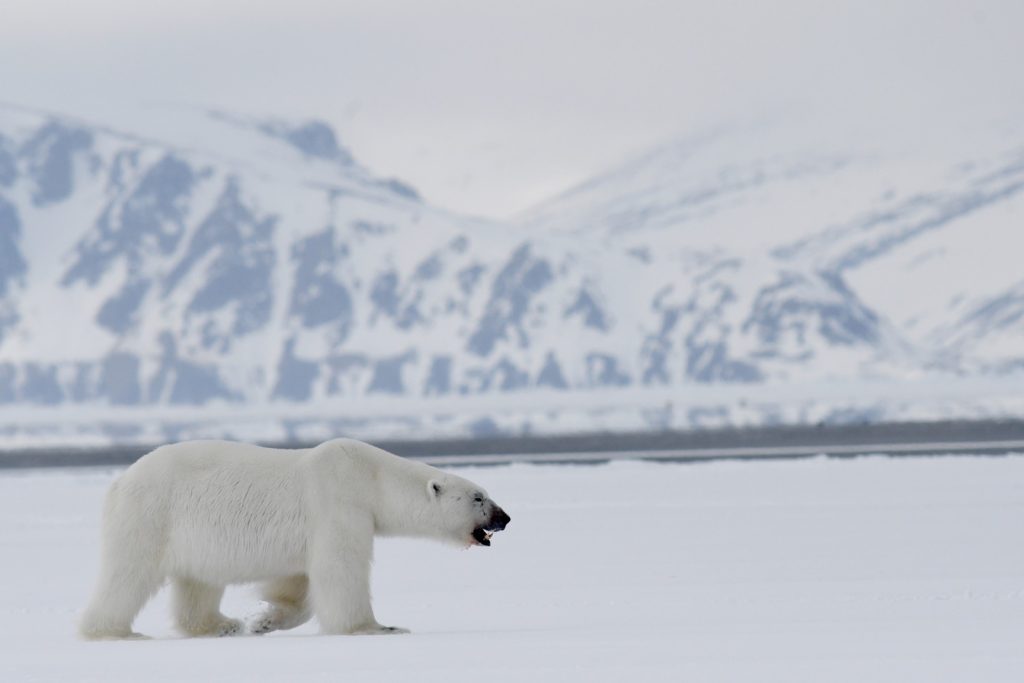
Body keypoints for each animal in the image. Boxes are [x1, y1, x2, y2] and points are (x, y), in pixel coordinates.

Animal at [78, 437, 510, 639]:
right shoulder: (339, 504)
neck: (371, 477)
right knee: (128, 574)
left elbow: (296, 582)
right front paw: (377, 627)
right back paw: (113, 631)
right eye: (478, 497)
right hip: (151, 514)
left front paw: (263, 620)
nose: (504, 518)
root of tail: (118, 481)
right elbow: (340, 572)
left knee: (198, 583)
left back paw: (222, 625)